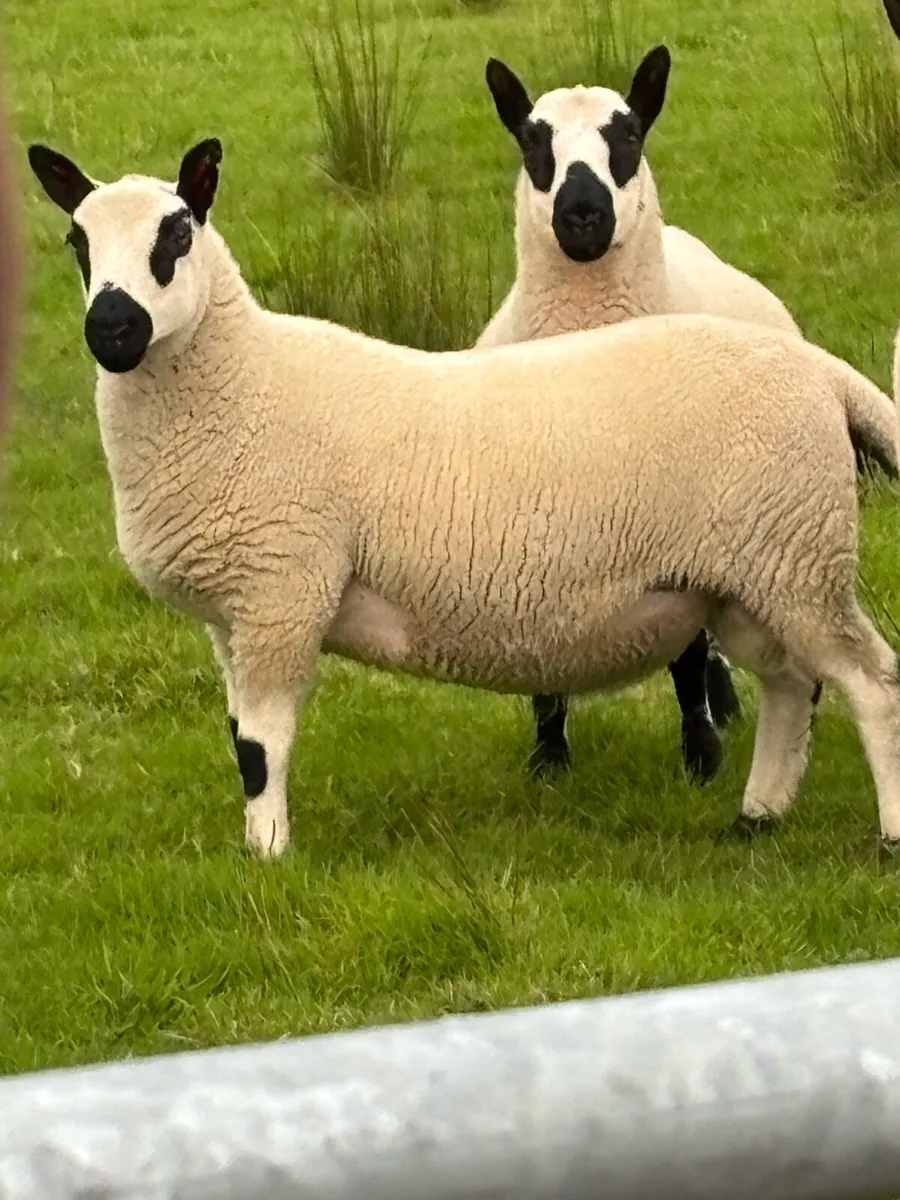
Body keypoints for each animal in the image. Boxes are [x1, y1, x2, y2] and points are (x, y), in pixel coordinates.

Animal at [27, 138, 900, 861]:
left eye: (175, 235)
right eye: (77, 242)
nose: (112, 328)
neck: (245, 382)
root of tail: (821, 369)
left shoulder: (283, 591)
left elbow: (261, 746)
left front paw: (269, 858)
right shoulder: (234, 610)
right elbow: (241, 737)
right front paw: (260, 848)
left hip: (793, 556)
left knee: (871, 682)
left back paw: (883, 837)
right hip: (749, 574)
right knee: (792, 686)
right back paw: (758, 818)